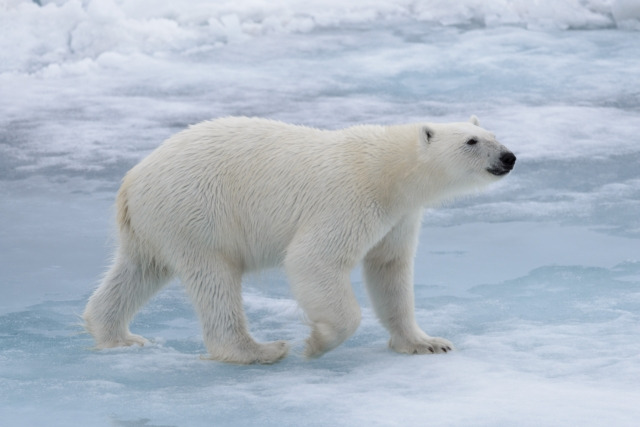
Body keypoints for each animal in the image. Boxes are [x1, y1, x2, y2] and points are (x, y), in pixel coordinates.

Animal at [84, 116, 516, 364]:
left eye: (493, 133)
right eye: (471, 141)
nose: (509, 157)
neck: (388, 170)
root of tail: (132, 180)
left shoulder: (399, 216)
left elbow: (389, 269)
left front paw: (427, 342)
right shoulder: (351, 199)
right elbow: (314, 260)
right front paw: (318, 341)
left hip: (154, 224)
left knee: (138, 270)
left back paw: (117, 336)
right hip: (197, 212)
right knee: (214, 278)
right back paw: (260, 350)